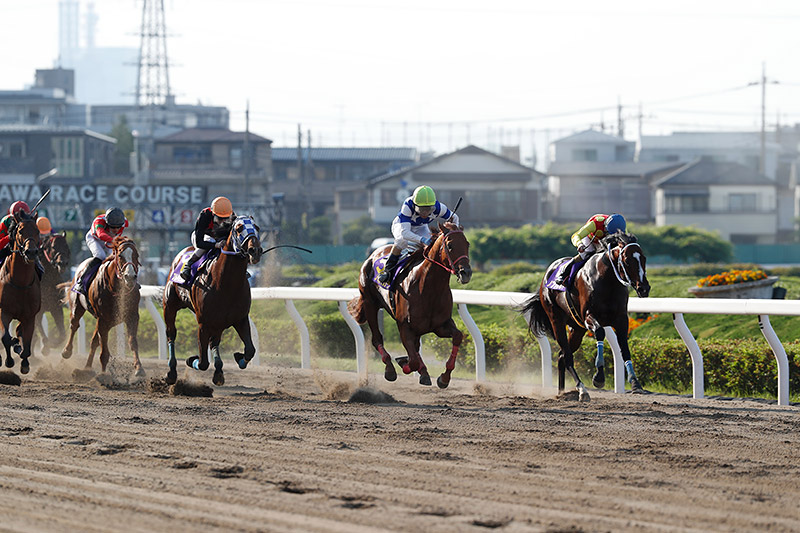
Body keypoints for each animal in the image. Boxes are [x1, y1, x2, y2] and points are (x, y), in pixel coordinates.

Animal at [0, 216, 41, 374]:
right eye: (20, 231)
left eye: (37, 231)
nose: (31, 252)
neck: (20, 283)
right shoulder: (4, 311)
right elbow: (5, 337)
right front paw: (9, 360)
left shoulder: (29, 316)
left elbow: (26, 343)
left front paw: (24, 363)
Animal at [61, 235, 144, 376]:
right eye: (120, 255)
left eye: (136, 255)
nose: (130, 277)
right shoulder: (103, 319)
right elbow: (104, 348)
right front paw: (104, 374)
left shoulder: (132, 316)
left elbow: (132, 342)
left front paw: (139, 368)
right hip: (78, 307)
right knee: (74, 324)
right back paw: (67, 351)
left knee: (94, 341)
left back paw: (87, 368)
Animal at [162, 214, 262, 384]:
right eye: (239, 228)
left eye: (257, 227)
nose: (255, 251)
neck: (226, 284)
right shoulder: (203, 323)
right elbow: (202, 362)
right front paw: (191, 360)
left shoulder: (240, 318)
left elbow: (250, 350)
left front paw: (239, 358)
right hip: (170, 306)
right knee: (171, 335)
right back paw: (171, 372)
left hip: (218, 322)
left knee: (214, 342)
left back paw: (219, 370)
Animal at [348, 220, 468, 386]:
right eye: (450, 245)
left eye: (467, 244)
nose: (466, 272)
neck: (428, 288)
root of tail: (372, 255)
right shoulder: (404, 326)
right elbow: (413, 361)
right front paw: (403, 363)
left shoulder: (441, 325)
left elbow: (457, 336)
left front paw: (444, 378)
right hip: (370, 304)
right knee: (377, 338)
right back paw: (390, 369)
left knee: (415, 347)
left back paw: (422, 372)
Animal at [524, 231, 648, 402]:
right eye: (627, 260)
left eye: (644, 259)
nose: (644, 288)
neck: (608, 280)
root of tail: (546, 276)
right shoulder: (589, 316)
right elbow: (600, 333)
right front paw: (599, 377)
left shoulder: (621, 318)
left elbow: (624, 346)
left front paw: (635, 383)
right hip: (556, 319)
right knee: (567, 356)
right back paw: (582, 390)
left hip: (577, 329)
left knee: (562, 356)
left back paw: (562, 392)